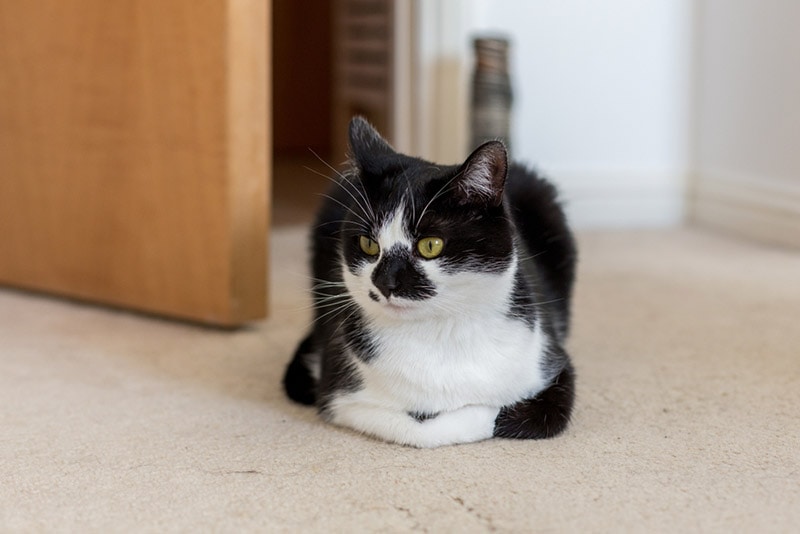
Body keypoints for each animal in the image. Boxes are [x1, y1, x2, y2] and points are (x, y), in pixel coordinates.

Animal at [284, 119, 580, 450]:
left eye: (430, 245)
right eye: (368, 244)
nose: (384, 282)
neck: (440, 333)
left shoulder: (553, 362)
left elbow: (542, 417)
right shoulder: (339, 395)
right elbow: (422, 429)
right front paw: (475, 411)